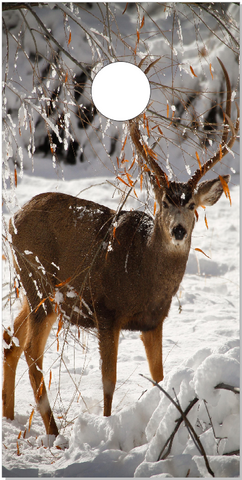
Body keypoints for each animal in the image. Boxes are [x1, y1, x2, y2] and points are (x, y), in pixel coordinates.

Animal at [1, 58, 239, 436]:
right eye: (163, 202)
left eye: (191, 205)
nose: (178, 230)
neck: (143, 277)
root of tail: (14, 219)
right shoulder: (106, 311)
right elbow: (108, 383)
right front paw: (108, 428)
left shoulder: (153, 322)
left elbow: (160, 377)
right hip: (41, 283)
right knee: (32, 354)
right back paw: (55, 433)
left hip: (33, 288)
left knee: (10, 340)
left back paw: (11, 419)